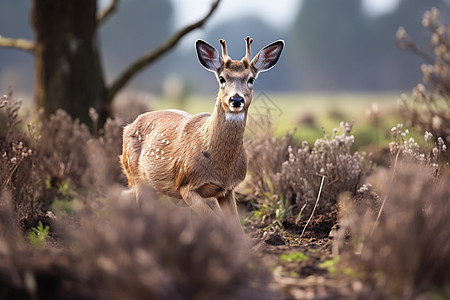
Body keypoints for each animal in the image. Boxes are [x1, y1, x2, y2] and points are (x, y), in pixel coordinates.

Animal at [121, 37, 284, 230]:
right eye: (222, 79)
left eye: (251, 79)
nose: (236, 99)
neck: (221, 169)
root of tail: (127, 126)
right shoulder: (186, 184)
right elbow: (216, 221)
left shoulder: (227, 190)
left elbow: (236, 226)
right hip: (135, 176)